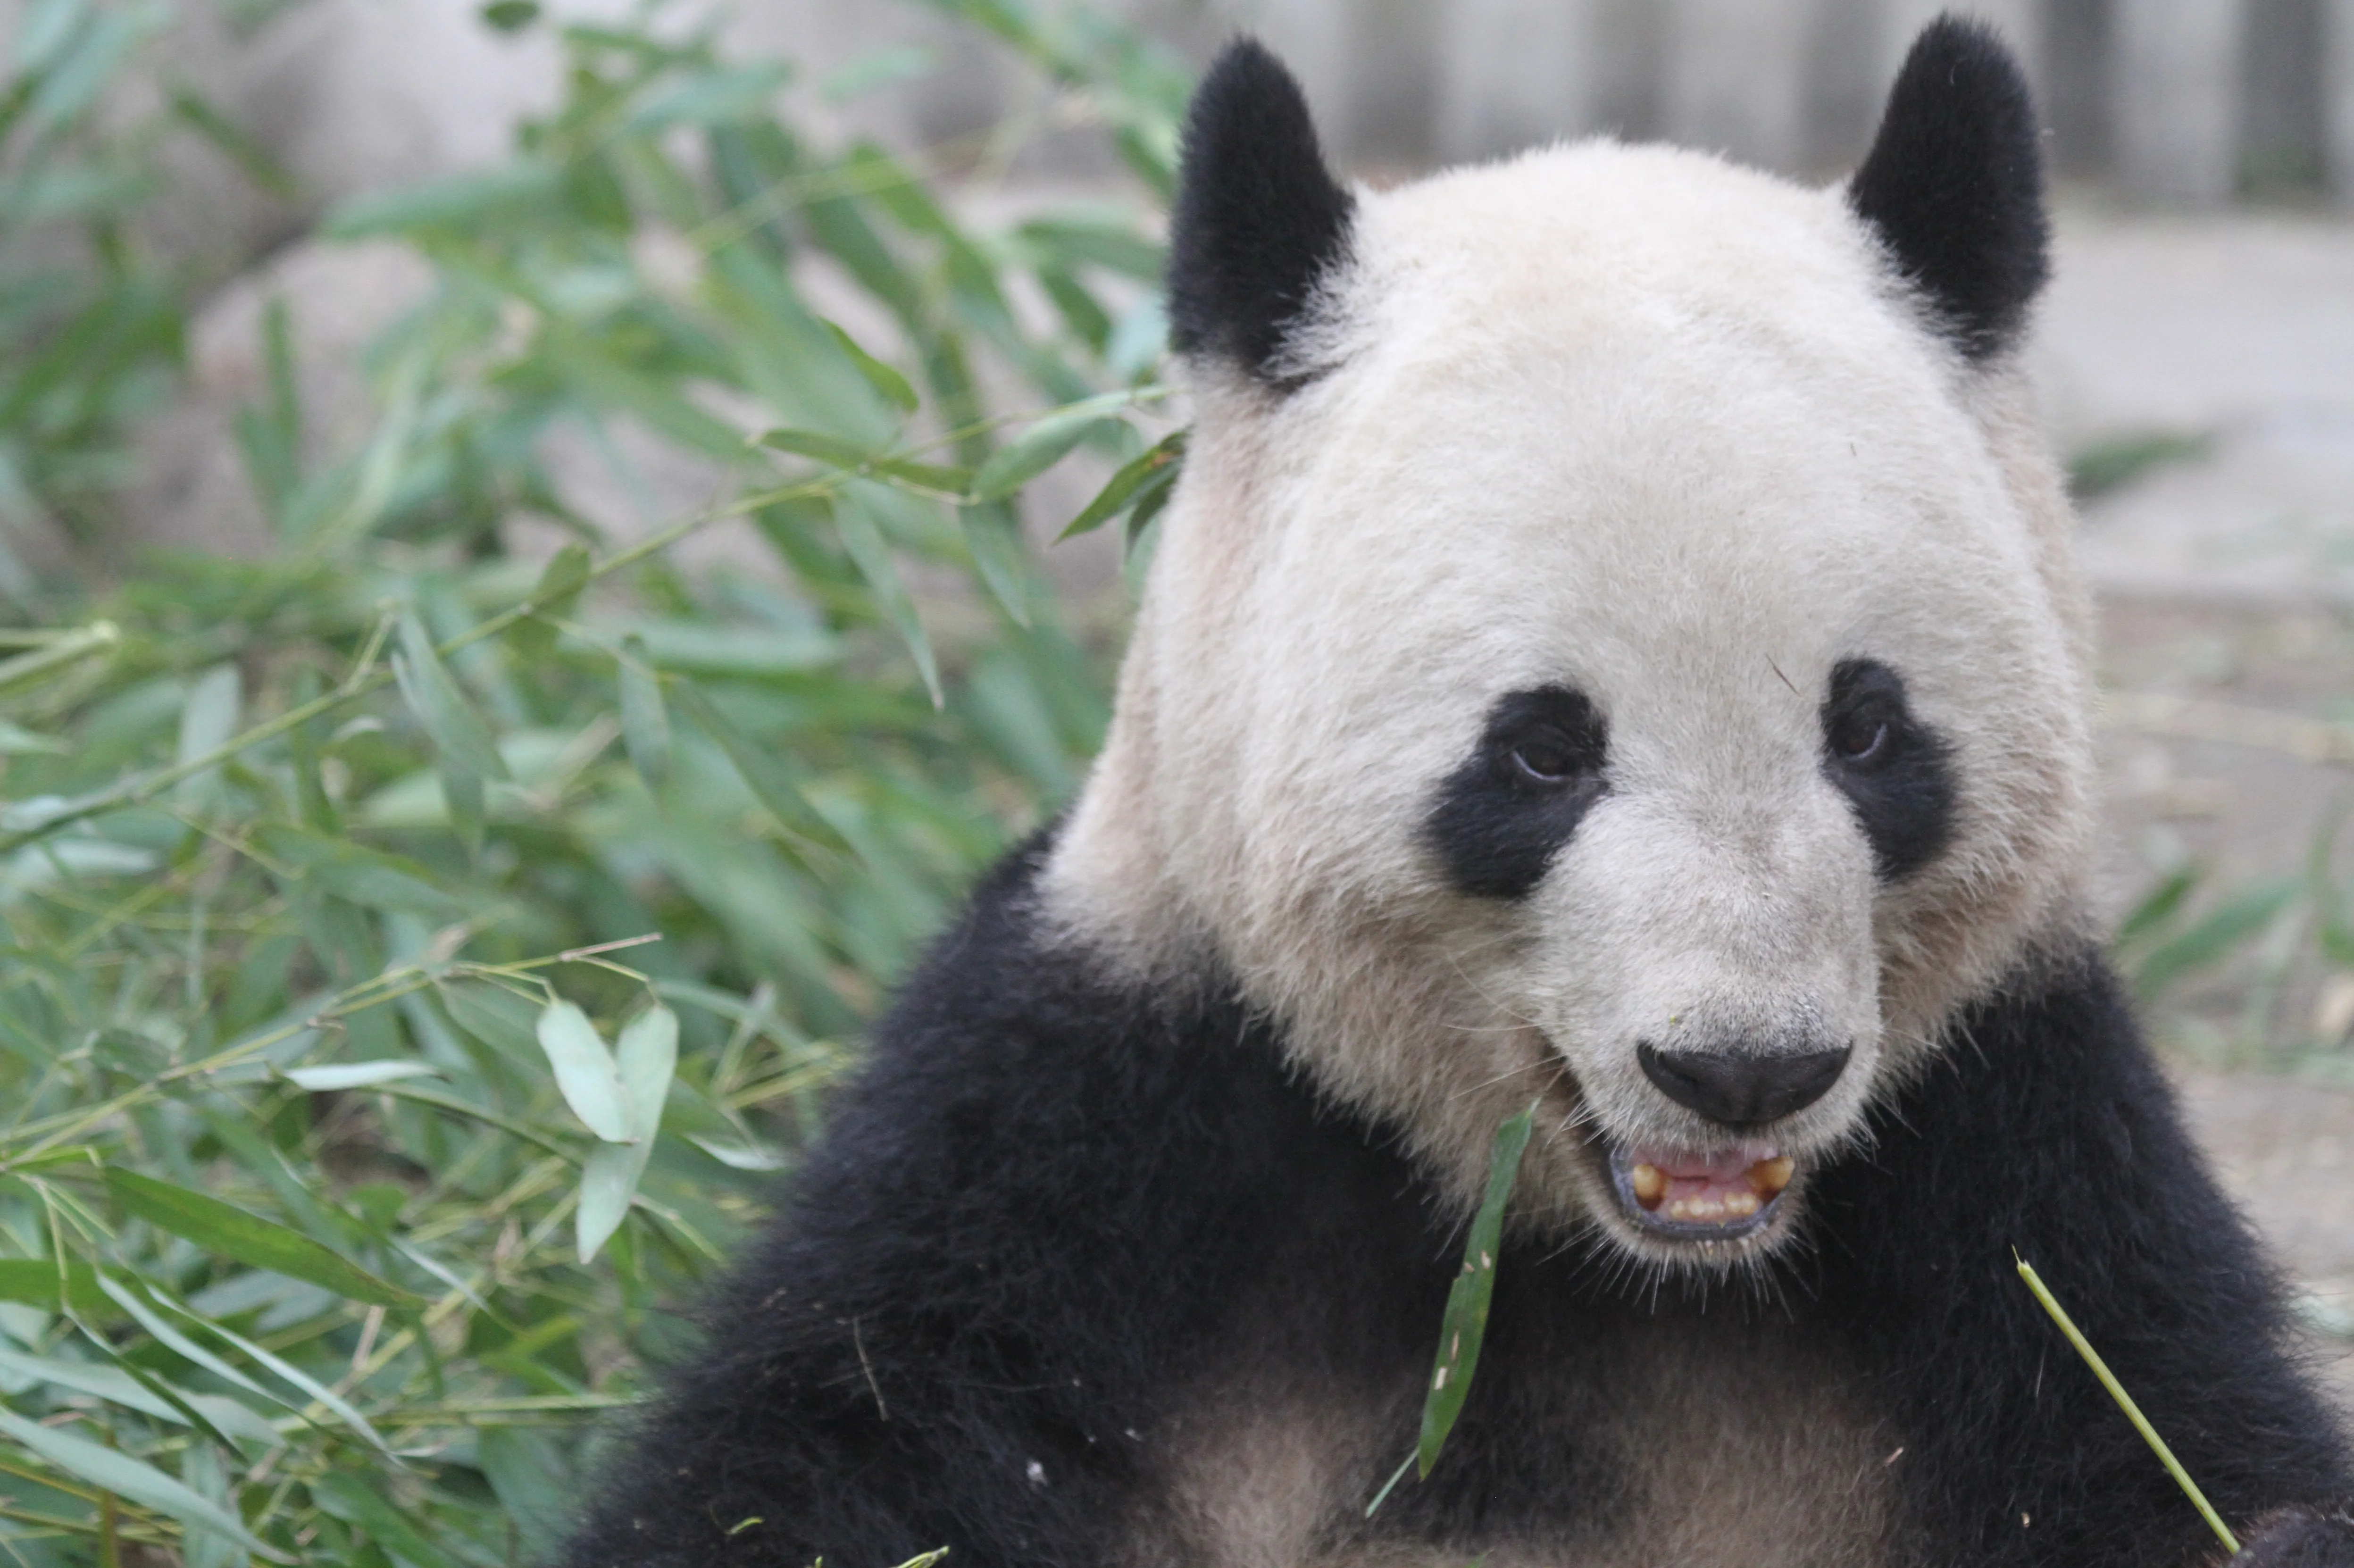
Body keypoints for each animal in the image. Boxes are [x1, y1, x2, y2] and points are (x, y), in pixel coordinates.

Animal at [563, 17, 2354, 1568]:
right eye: (1543, 749)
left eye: (1868, 732)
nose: (1742, 1070)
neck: (1565, 1249)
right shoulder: (1087, 1126)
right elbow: (834, 1457)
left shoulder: (2016, 1161)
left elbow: (2184, 1451)